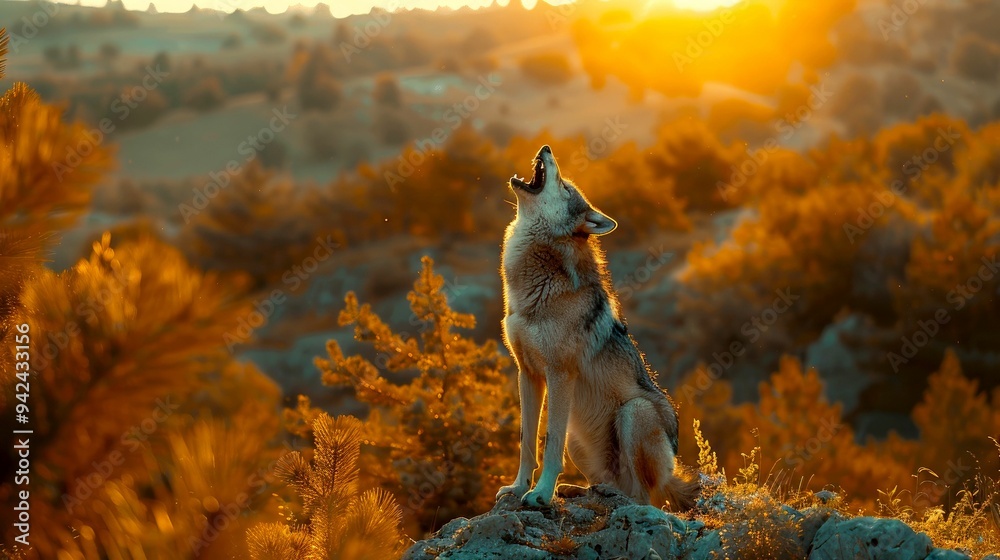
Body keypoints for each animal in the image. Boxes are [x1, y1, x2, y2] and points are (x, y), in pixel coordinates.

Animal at [496, 145, 699, 509]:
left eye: (565, 187)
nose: (546, 147)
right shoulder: (527, 374)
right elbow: (526, 443)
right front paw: (519, 488)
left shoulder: (560, 374)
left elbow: (549, 444)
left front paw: (540, 494)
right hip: (578, 439)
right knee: (612, 483)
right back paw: (581, 490)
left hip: (634, 412)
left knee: (645, 499)